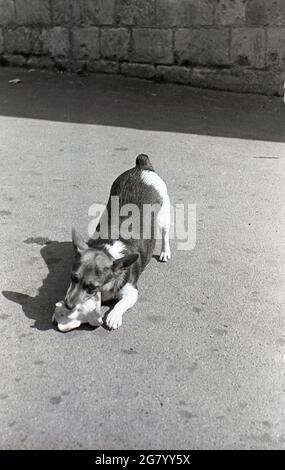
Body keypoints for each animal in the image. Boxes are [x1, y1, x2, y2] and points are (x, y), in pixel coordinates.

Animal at [56, 155, 170, 330]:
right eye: (73, 278)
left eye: (92, 287)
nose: (68, 305)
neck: (108, 249)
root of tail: (141, 166)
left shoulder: (132, 292)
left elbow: (120, 304)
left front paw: (114, 316)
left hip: (164, 216)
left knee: (165, 234)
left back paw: (165, 252)